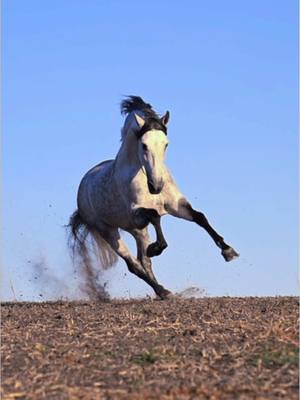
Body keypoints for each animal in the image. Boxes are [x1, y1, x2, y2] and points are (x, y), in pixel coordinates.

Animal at [68, 95, 239, 298]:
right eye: (144, 145)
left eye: (166, 144)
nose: (156, 186)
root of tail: (83, 185)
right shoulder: (136, 212)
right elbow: (156, 216)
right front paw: (156, 248)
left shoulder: (176, 205)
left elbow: (200, 217)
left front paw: (228, 251)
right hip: (109, 231)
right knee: (133, 264)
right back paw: (162, 290)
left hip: (137, 231)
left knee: (144, 261)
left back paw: (162, 290)